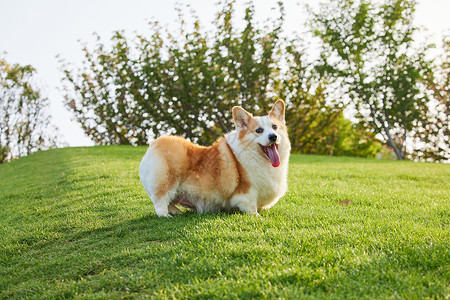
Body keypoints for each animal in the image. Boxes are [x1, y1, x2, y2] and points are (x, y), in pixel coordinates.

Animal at [139, 100, 290, 216]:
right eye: (259, 130)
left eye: (275, 127)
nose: (273, 137)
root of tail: (153, 145)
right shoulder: (247, 193)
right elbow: (251, 208)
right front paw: (257, 216)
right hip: (166, 182)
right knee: (160, 203)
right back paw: (167, 216)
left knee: (170, 204)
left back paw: (178, 213)